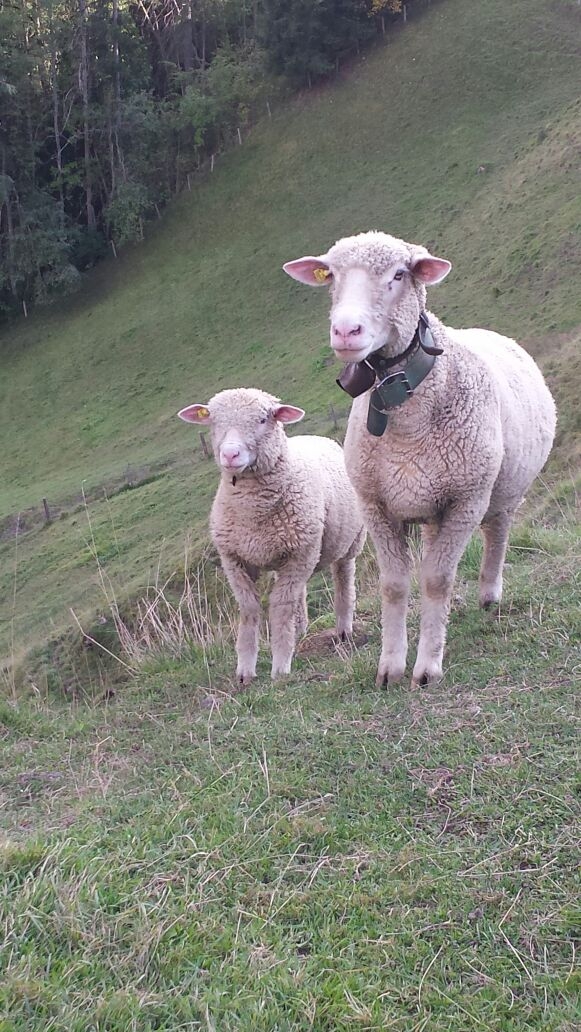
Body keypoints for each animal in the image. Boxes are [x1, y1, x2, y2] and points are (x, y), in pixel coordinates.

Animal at [178, 387, 366, 685]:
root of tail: (318, 438)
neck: (252, 510)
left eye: (263, 419)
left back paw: (344, 627)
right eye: (213, 421)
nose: (230, 454)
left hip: (348, 542)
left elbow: (280, 606)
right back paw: (300, 629)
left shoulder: (301, 553)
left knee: (343, 578)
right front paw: (245, 669)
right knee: (298, 592)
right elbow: (249, 608)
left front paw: (280, 665)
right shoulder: (234, 559)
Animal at [283, 231, 556, 688]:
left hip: (502, 488)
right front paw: (390, 666)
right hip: (432, 503)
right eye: (332, 276)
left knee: (497, 533)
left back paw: (490, 594)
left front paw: (428, 666)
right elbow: (395, 585)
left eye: (398, 274)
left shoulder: (465, 501)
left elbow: (436, 580)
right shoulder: (376, 505)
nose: (346, 330)